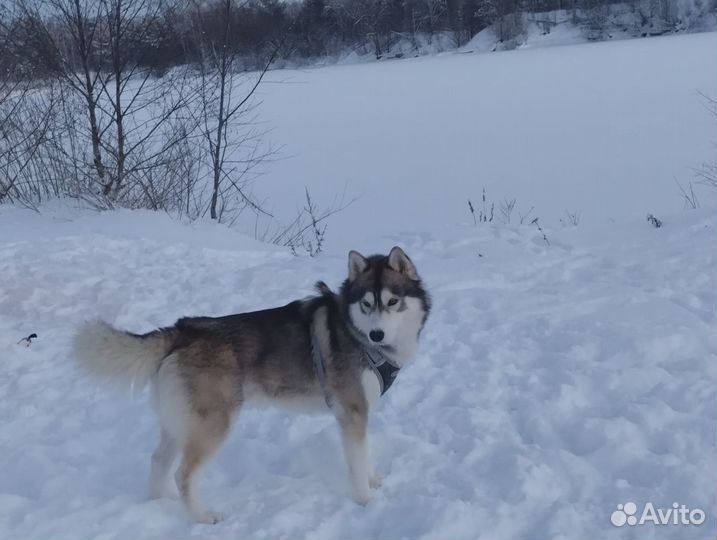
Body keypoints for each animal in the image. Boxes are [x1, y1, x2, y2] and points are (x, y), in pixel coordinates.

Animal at [72, 246, 430, 524]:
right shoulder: (353, 412)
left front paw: (373, 480)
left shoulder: (358, 415)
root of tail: (184, 329)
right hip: (214, 423)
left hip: (179, 421)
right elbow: (357, 462)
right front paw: (366, 501)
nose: (376, 334)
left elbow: (365, 457)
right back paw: (202, 517)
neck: (358, 335)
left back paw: (160, 504)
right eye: (367, 304)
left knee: (159, 461)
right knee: (183, 474)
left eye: (393, 301)